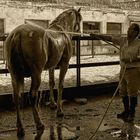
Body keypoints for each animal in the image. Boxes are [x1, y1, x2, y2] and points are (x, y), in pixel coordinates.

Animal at [4, 7, 82, 137]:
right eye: (80, 19)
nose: (79, 33)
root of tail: (17, 34)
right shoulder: (64, 65)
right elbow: (60, 85)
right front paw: (59, 111)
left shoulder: (51, 67)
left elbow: (51, 83)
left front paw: (53, 104)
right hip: (36, 74)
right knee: (32, 95)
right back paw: (39, 124)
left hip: (14, 75)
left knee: (16, 97)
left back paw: (20, 128)